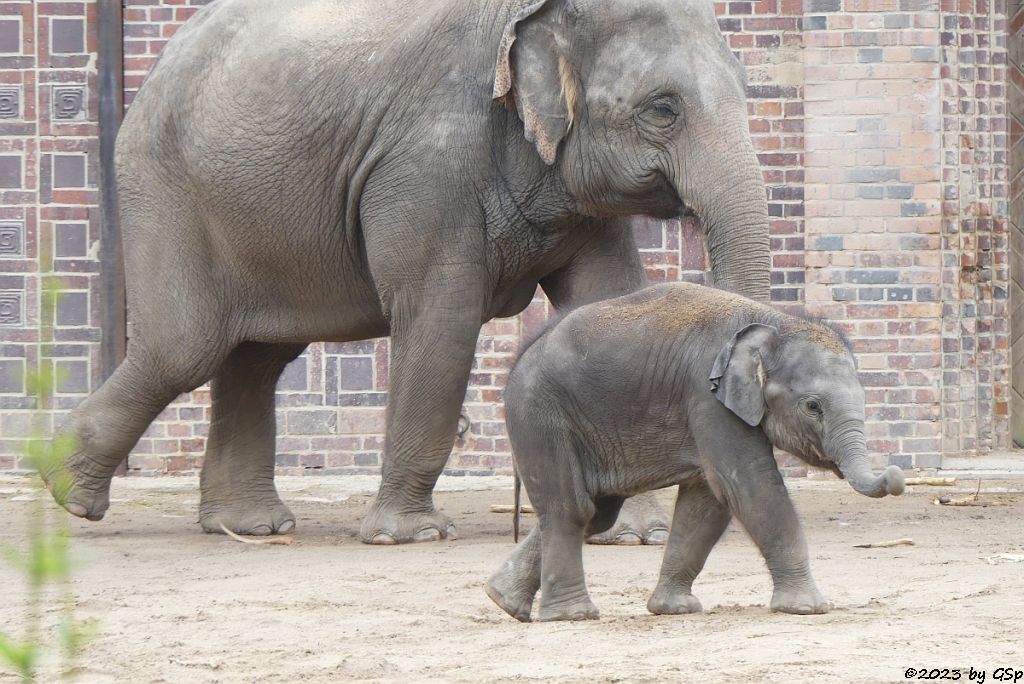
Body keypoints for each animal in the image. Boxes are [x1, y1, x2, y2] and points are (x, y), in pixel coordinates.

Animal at [46, 0, 770, 540]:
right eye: (662, 108)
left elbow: (608, 301)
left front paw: (636, 534)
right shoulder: (425, 163)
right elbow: (440, 316)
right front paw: (410, 534)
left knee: (258, 356)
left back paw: (249, 526)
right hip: (164, 190)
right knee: (185, 348)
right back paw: (68, 495)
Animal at [487, 280, 905, 622]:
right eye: (813, 406)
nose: (896, 475)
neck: (773, 322)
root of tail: (519, 359)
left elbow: (707, 502)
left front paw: (674, 609)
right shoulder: (707, 396)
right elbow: (748, 486)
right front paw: (808, 608)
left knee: (597, 511)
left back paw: (502, 600)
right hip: (541, 415)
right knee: (571, 509)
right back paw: (571, 615)